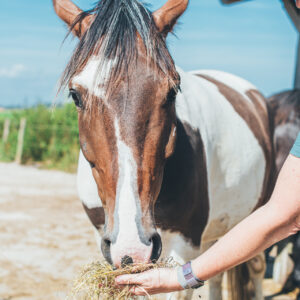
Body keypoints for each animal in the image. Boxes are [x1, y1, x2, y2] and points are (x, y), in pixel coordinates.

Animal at [52, 1, 276, 298]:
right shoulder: (103, 237)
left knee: (257, 267)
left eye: (172, 91)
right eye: (75, 95)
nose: (133, 250)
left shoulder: (183, 247)